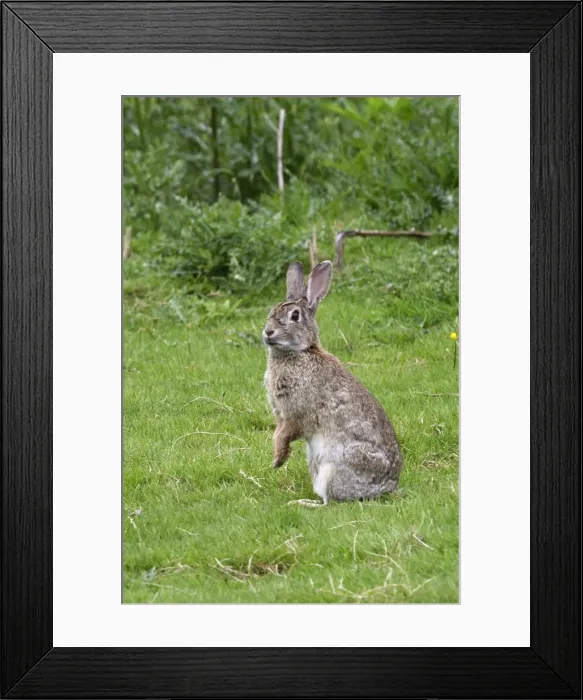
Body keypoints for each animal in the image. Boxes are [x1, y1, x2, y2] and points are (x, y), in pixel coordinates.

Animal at [263, 260, 402, 504]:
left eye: (295, 316)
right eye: (272, 311)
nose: (268, 332)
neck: (300, 352)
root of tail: (387, 487)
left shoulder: (296, 413)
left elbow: (286, 433)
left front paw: (278, 460)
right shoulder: (281, 414)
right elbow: (277, 434)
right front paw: (277, 459)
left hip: (334, 465)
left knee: (331, 502)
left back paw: (303, 503)